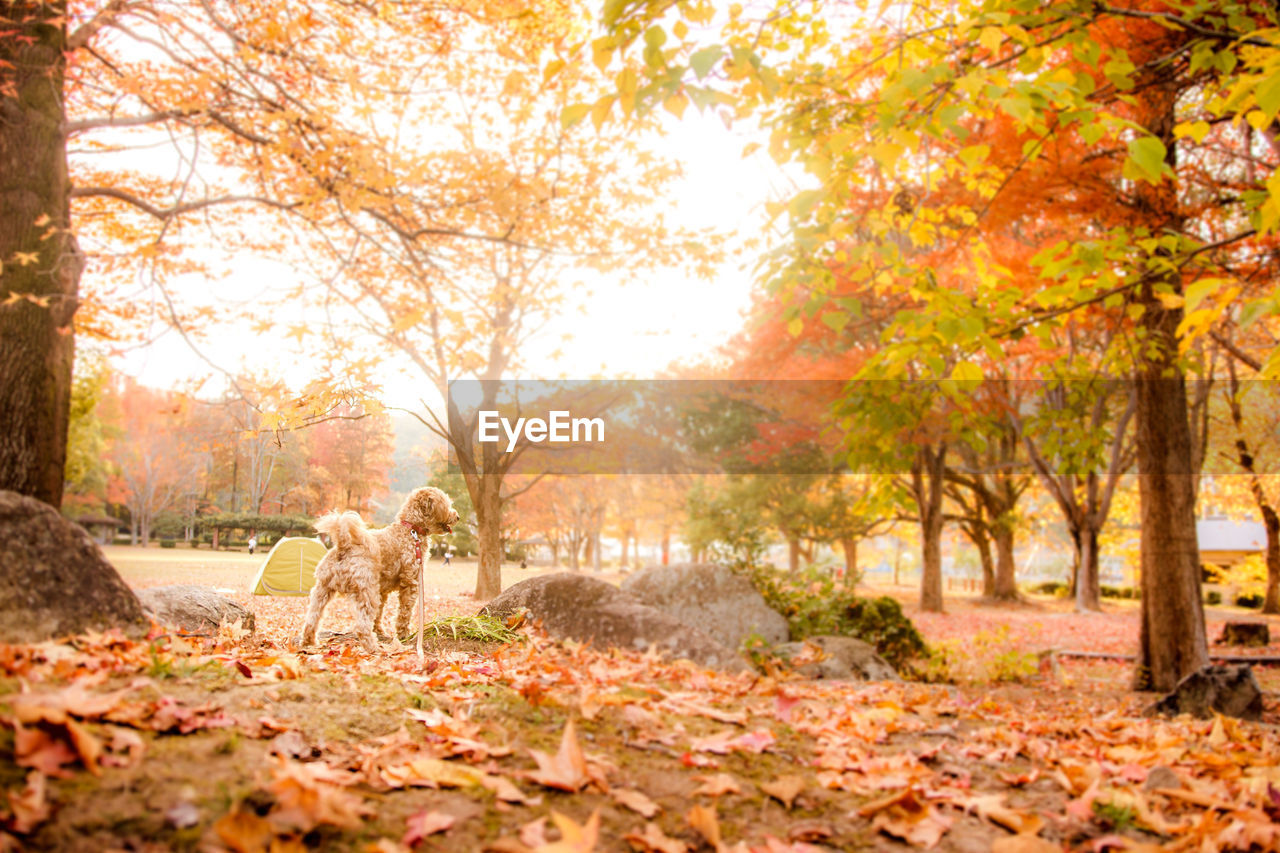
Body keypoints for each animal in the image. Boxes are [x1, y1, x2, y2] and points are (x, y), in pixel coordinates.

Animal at [299, 484, 460, 650]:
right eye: (447, 504)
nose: (457, 516)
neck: (411, 530)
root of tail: (343, 546)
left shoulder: (382, 590)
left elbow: (379, 613)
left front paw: (379, 631)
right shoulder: (411, 582)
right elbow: (404, 612)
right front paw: (404, 634)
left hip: (323, 589)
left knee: (311, 618)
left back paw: (308, 642)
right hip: (366, 590)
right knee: (361, 625)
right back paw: (373, 647)